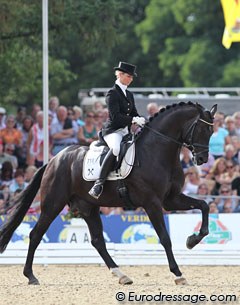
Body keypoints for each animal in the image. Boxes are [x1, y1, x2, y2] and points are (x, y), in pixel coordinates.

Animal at [0, 101, 217, 284]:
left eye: (211, 131)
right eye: (201, 129)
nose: (202, 159)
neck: (157, 152)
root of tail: (54, 159)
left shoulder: (171, 200)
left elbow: (204, 206)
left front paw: (192, 240)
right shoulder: (152, 203)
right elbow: (164, 238)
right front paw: (178, 274)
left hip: (88, 207)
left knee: (97, 241)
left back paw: (122, 275)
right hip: (53, 204)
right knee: (35, 234)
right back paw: (30, 276)